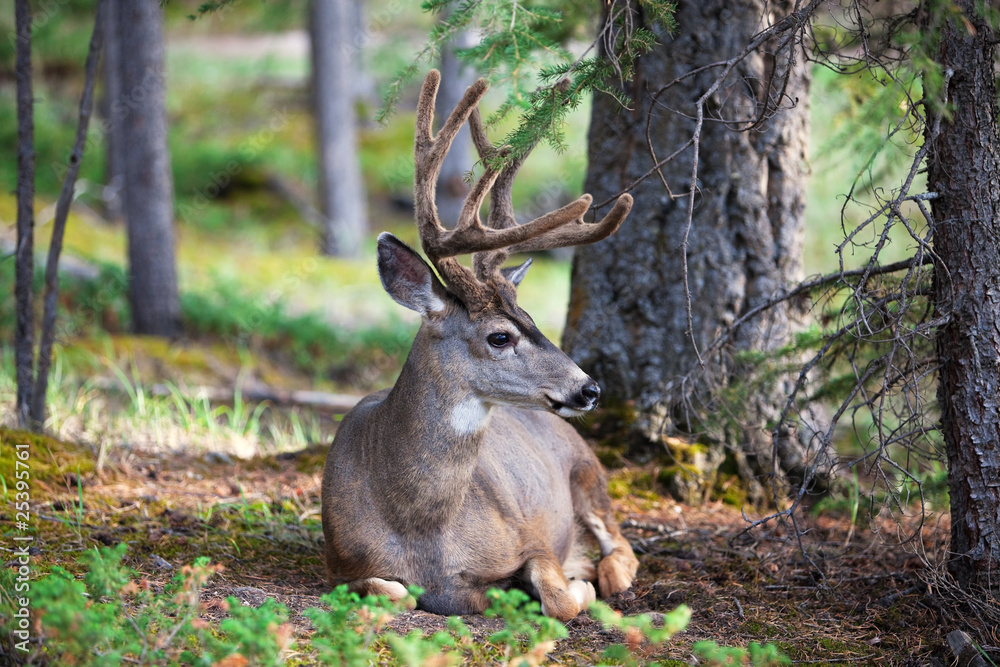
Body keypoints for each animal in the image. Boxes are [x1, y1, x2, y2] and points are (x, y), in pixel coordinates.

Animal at [320, 70, 639, 621]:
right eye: (500, 336)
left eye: (532, 319)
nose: (589, 388)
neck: (421, 527)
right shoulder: (342, 564)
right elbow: (391, 591)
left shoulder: (530, 535)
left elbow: (559, 598)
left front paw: (577, 586)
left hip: (589, 474)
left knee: (623, 549)